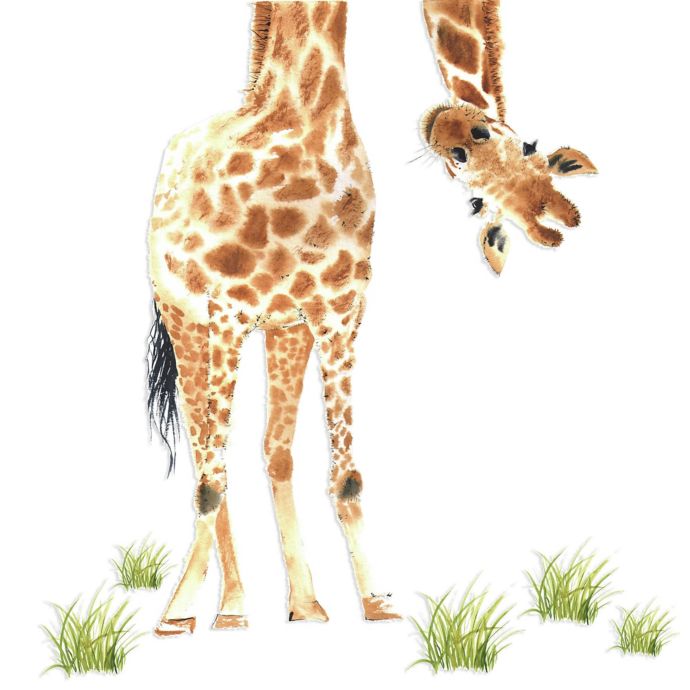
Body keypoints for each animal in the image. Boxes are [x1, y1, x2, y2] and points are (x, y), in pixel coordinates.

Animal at [147, 1, 400, 636]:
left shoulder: (339, 312)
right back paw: (228, 606)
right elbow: (210, 481)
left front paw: (378, 602)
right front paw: (178, 612)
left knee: (271, 449)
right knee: (205, 453)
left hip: (284, 330)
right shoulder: (228, 312)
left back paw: (302, 603)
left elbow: (347, 474)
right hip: (187, 324)